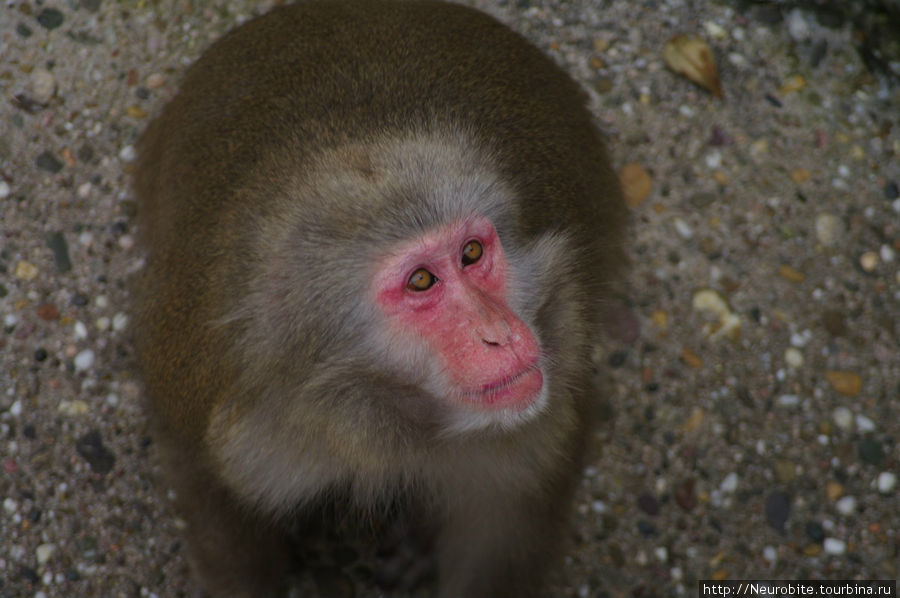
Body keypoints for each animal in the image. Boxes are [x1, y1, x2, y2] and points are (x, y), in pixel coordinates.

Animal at [134, 1, 624, 598]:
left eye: (471, 252)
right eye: (421, 282)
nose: (501, 333)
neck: (388, 410)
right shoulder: (227, 405)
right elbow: (208, 486)